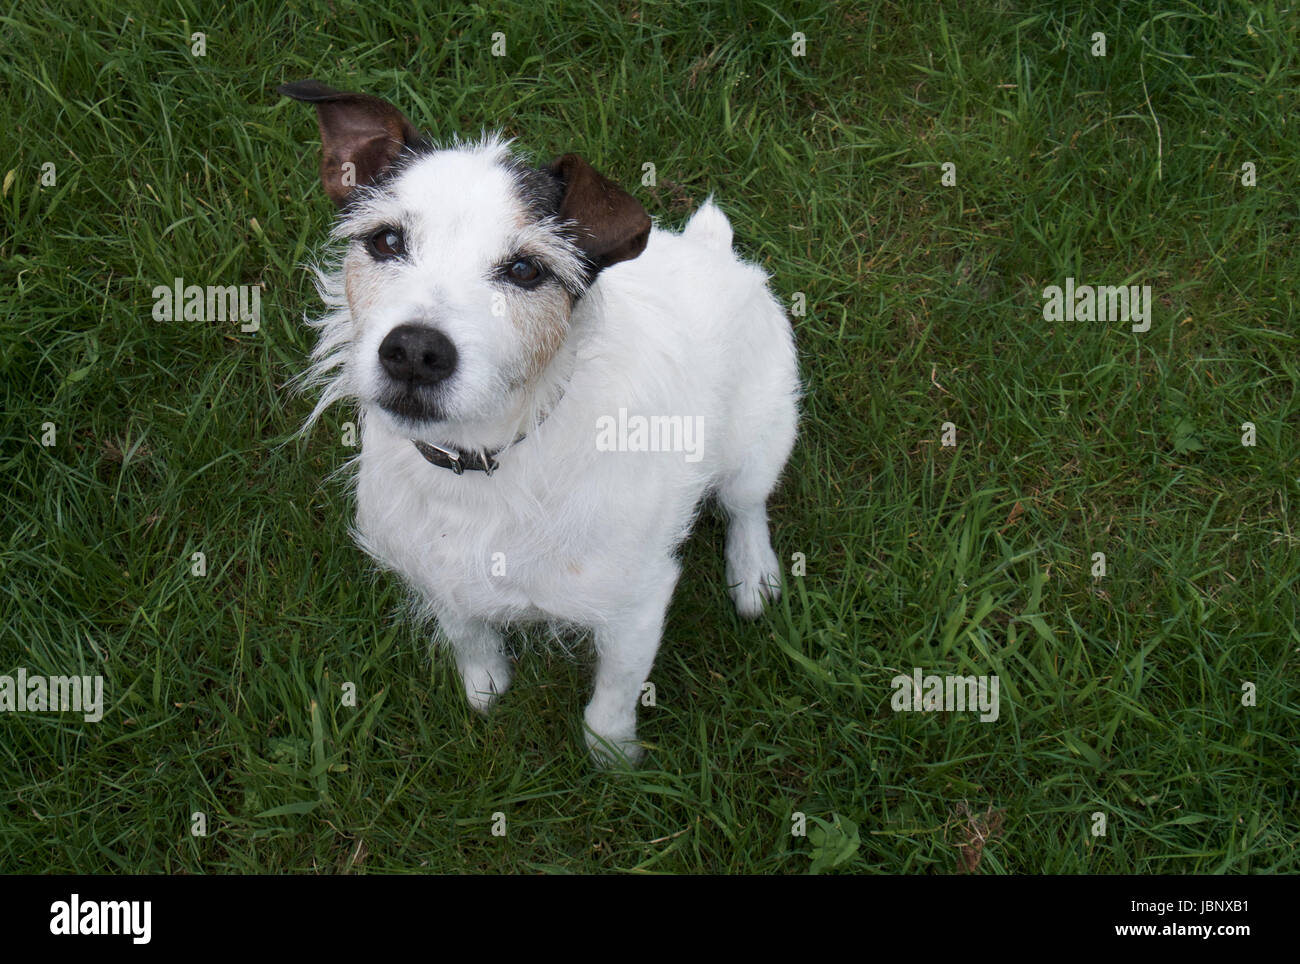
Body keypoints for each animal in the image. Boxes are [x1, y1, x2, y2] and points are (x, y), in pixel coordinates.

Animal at [279, 79, 795, 763]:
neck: (481, 467)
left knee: (746, 505)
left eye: (526, 270)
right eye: (386, 241)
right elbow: (469, 637)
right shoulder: (439, 575)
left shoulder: (637, 604)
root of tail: (716, 253)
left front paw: (612, 759)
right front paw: (486, 689)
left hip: (758, 439)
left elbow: (613, 697)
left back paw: (753, 572)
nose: (414, 351)